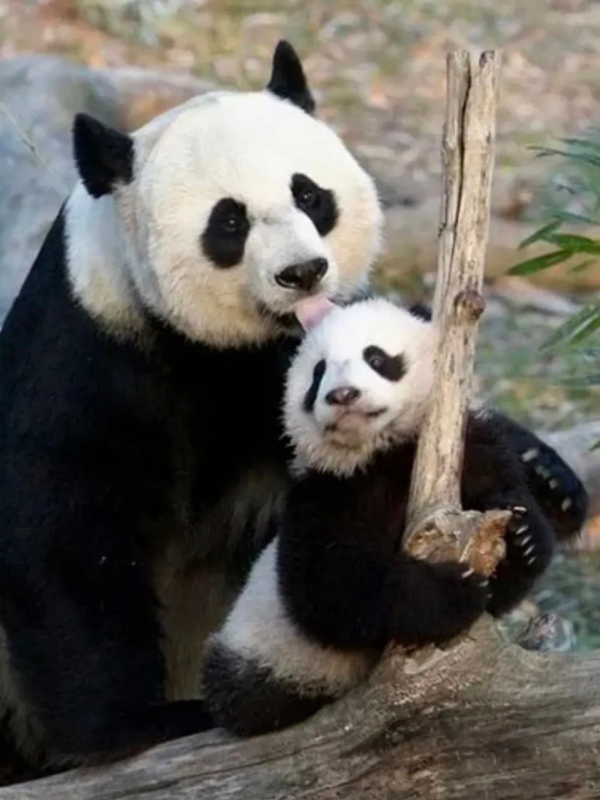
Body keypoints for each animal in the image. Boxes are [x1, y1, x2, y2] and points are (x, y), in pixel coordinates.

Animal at [201, 297, 572, 738]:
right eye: (318, 373)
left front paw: (524, 537)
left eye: (376, 358)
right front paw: (453, 592)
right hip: (260, 651)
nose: (343, 394)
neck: (387, 450)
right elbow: (331, 586)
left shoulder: (471, 451)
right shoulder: (332, 492)